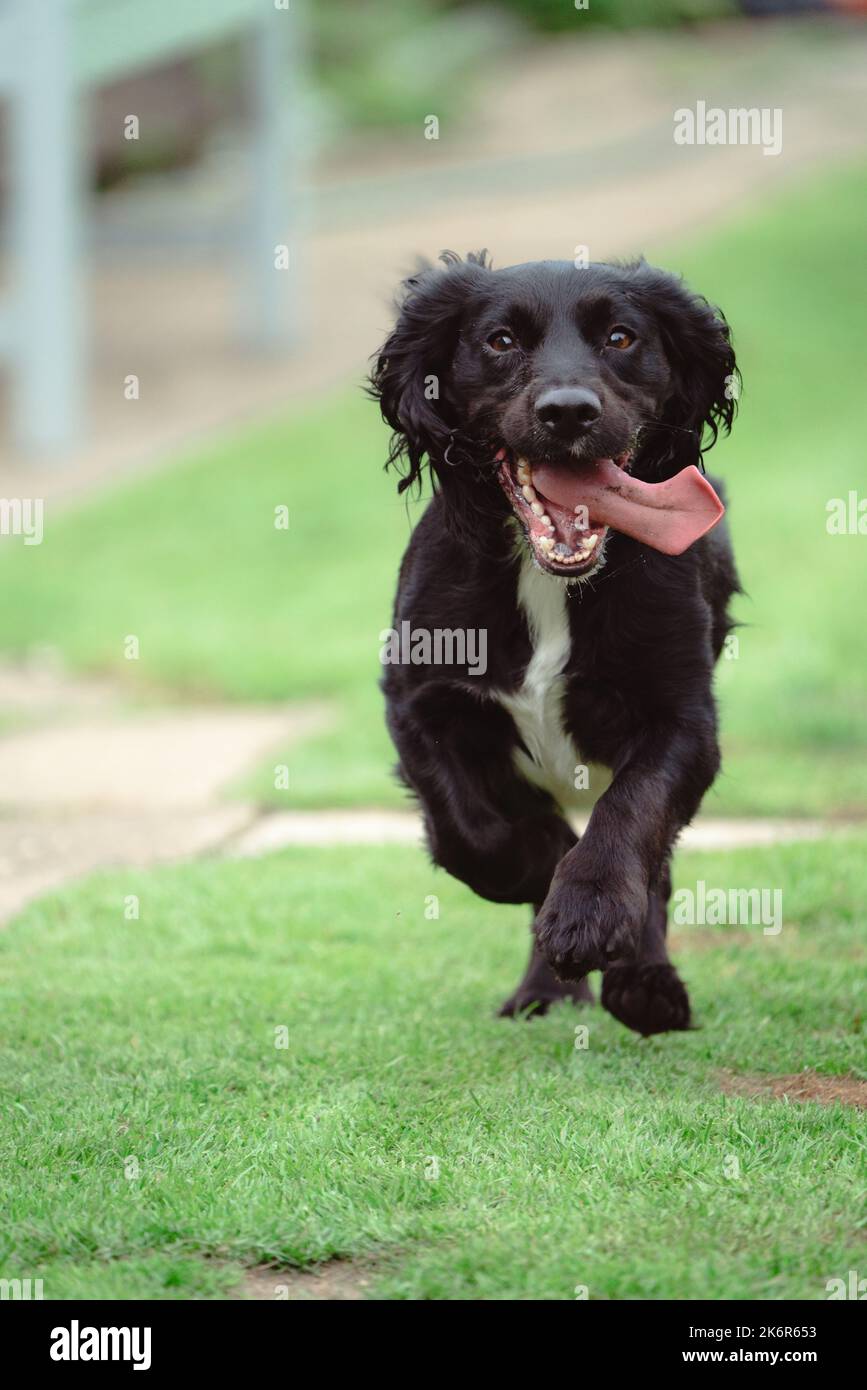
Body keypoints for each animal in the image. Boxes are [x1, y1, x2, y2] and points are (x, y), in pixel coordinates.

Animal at [369, 252, 739, 1034]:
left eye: (622, 337)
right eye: (501, 341)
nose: (568, 410)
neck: (547, 582)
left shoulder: (684, 718)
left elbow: (632, 812)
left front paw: (589, 912)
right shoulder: (417, 701)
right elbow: (470, 829)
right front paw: (541, 860)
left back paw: (642, 981)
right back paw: (546, 985)